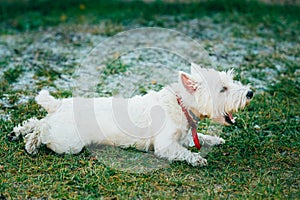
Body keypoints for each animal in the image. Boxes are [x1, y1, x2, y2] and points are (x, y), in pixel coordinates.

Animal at [9, 63, 253, 166]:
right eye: (222, 89)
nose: (250, 93)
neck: (180, 104)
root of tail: (57, 105)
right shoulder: (165, 145)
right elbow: (184, 152)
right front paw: (198, 159)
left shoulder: (184, 136)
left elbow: (199, 138)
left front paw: (216, 139)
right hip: (68, 143)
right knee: (41, 129)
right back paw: (30, 143)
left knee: (36, 121)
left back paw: (17, 132)